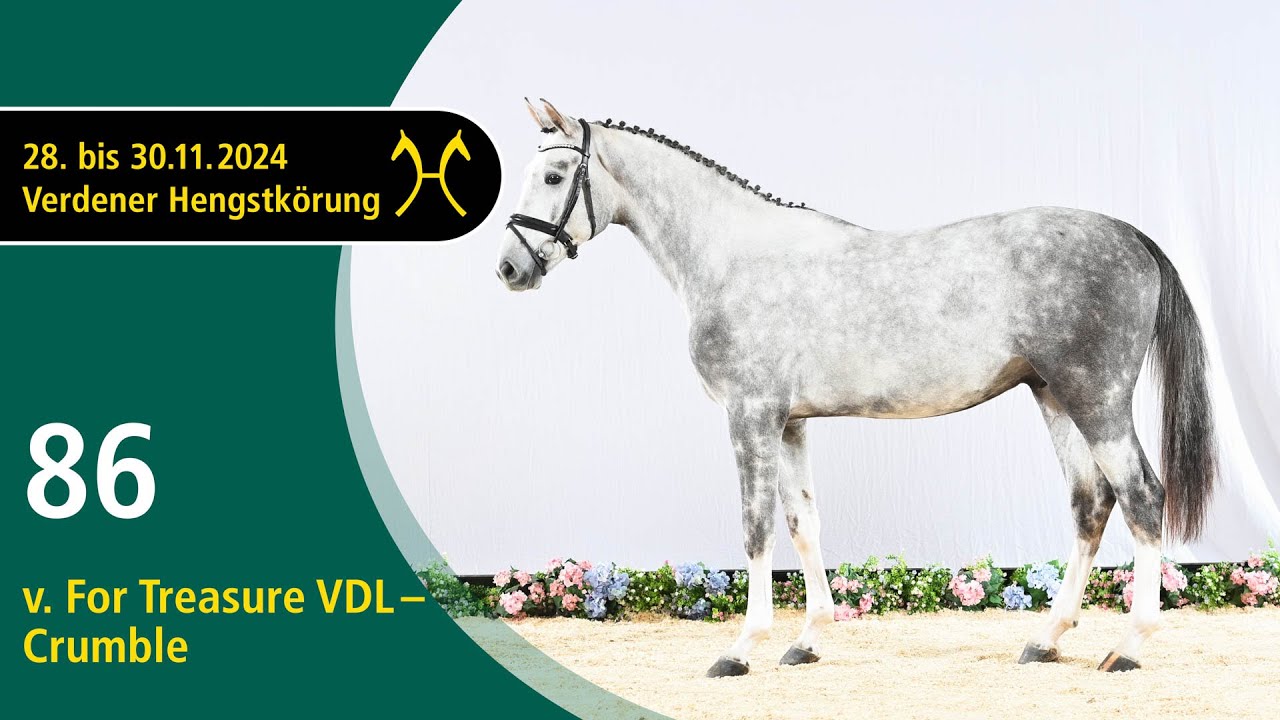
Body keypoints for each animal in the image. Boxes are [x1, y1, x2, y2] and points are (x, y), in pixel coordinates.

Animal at [496, 99, 1218, 677]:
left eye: (554, 176)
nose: (509, 268)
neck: (732, 257)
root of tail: (1132, 238)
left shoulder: (750, 417)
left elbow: (756, 528)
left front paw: (741, 650)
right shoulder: (789, 423)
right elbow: (803, 524)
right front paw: (806, 643)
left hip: (1097, 400)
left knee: (1142, 497)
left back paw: (1128, 648)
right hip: (1055, 396)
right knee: (1092, 503)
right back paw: (1045, 641)